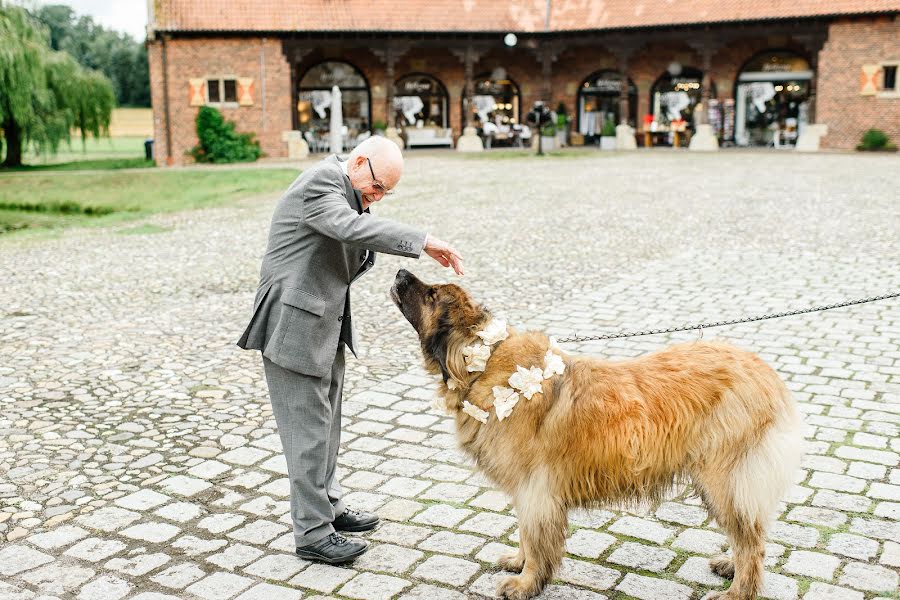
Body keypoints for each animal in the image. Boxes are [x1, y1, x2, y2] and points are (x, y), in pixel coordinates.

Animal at [390, 270, 804, 600]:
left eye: (431, 294)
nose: (399, 272)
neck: (485, 363)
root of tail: (765, 373)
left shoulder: (535, 490)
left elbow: (535, 539)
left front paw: (526, 583)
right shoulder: (530, 491)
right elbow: (525, 534)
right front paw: (519, 563)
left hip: (723, 479)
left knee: (752, 542)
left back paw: (737, 592)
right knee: (750, 535)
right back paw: (730, 567)